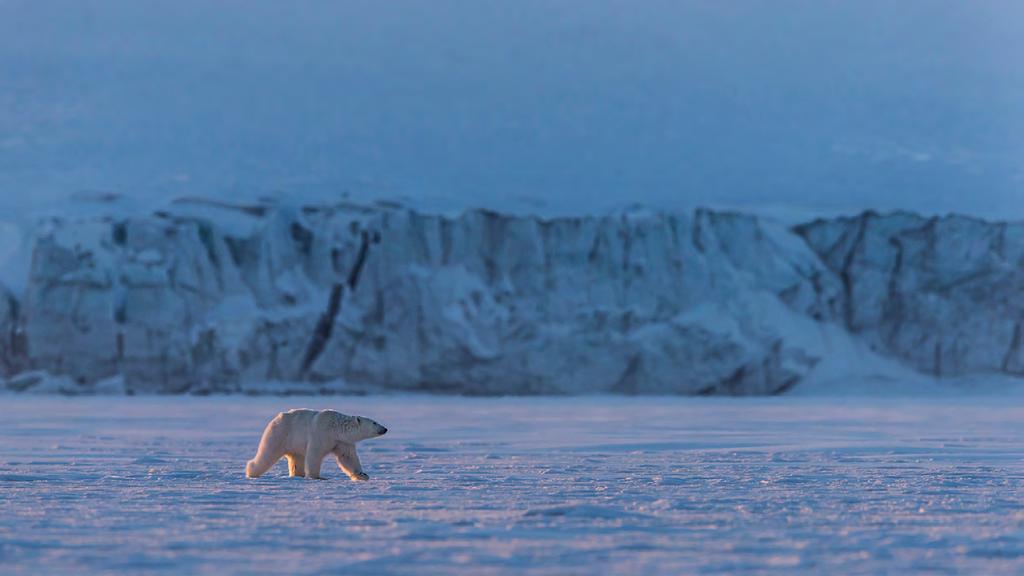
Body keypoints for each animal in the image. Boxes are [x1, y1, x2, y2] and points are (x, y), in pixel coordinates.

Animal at [244, 407, 387, 479]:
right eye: (374, 422)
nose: (385, 429)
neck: (336, 428)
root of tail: (276, 418)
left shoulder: (342, 442)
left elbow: (348, 458)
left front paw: (362, 475)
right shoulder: (321, 433)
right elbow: (314, 455)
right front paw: (317, 477)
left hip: (294, 444)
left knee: (297, 460)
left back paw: (298, 475)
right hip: (280, 434)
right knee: (267, 454)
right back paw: (251, 471)